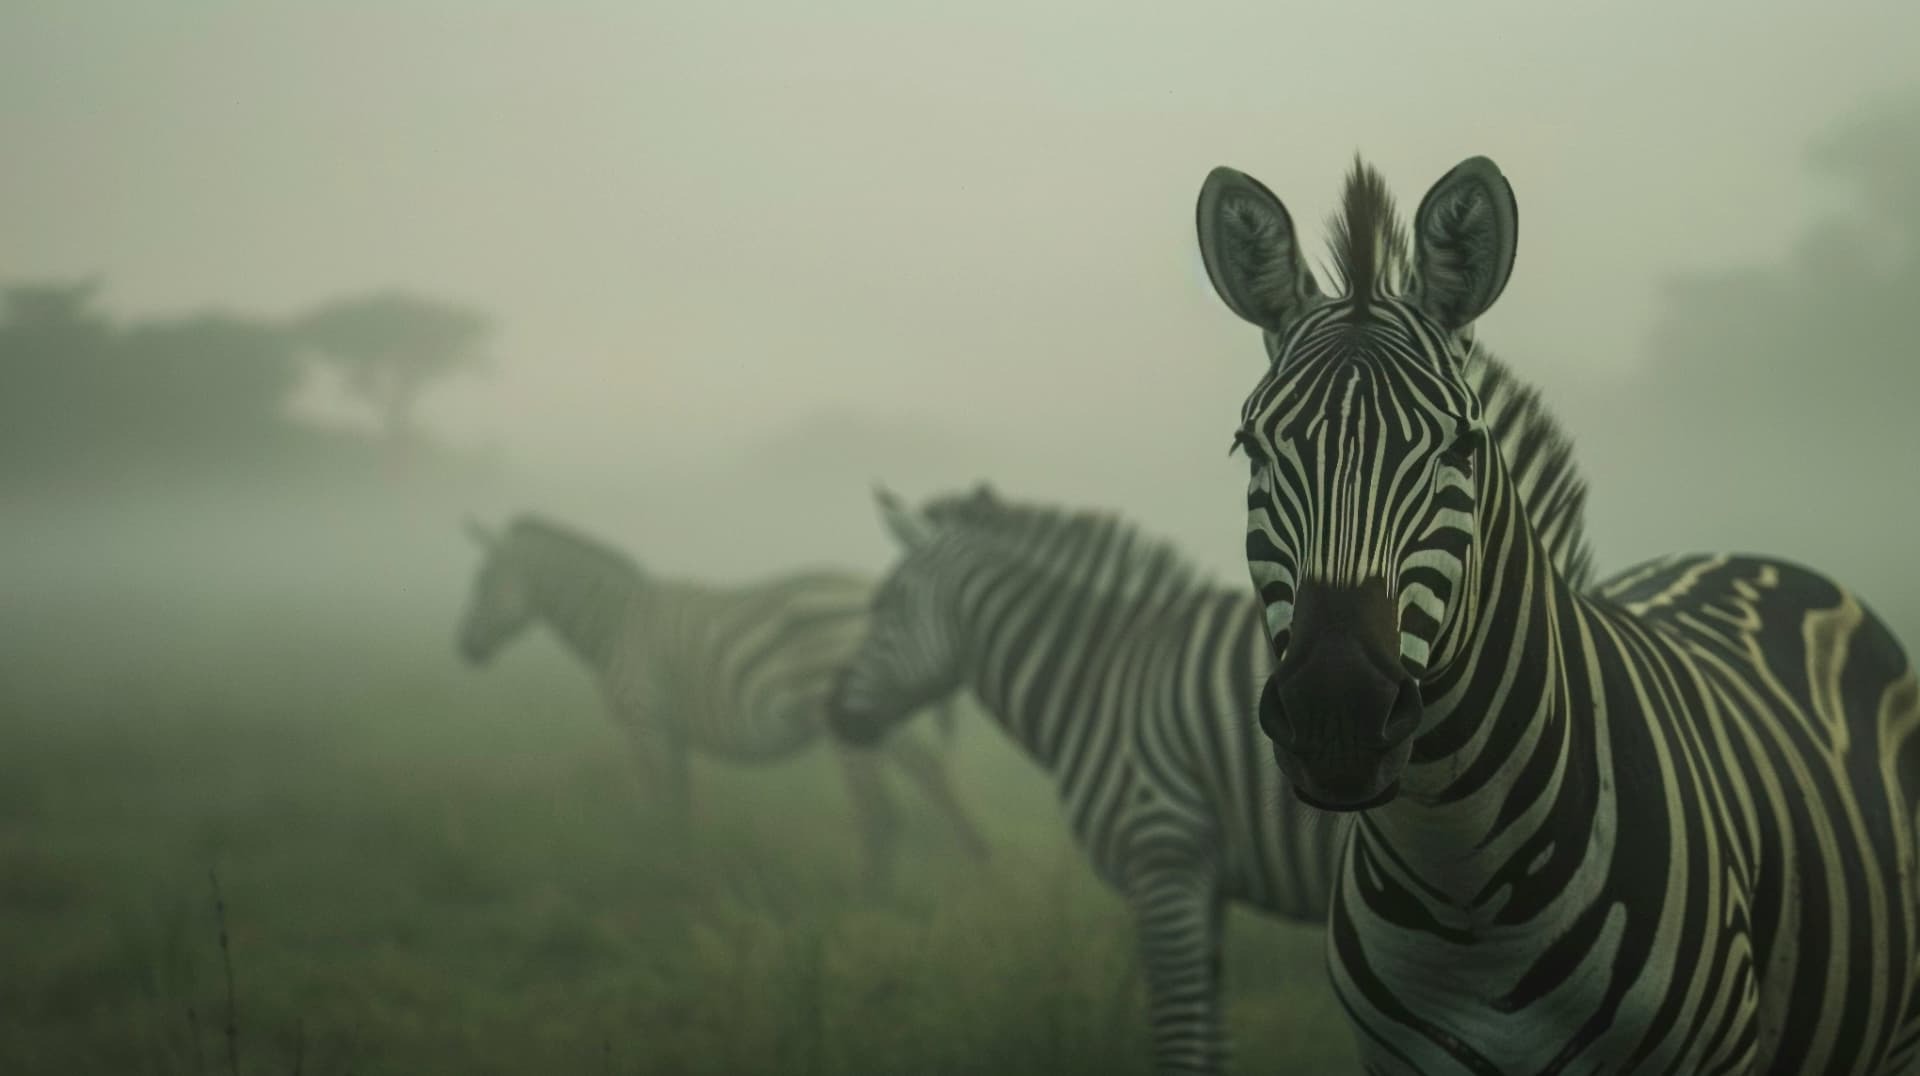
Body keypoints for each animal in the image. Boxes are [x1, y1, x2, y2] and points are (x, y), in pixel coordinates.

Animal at [455, 513, 990, 892]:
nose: (464, 649)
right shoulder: (671, 730)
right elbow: (679, 805)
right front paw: (680, 867)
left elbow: (654, 802)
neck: (615, 623)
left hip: (846, 717)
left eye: (481, 581)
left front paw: (651, 869)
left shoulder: (643, 718)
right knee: (935, 777)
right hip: (887, 716)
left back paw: (868, 898)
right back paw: (975, 866)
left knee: (881, 810)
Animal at [826, 368, 1593, 1076]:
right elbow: (1210, 1043)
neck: (1104, 674)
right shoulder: (1205, 883)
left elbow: (1183, 1045)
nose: (833, 712)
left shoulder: (1163, 858)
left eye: (885, 607)